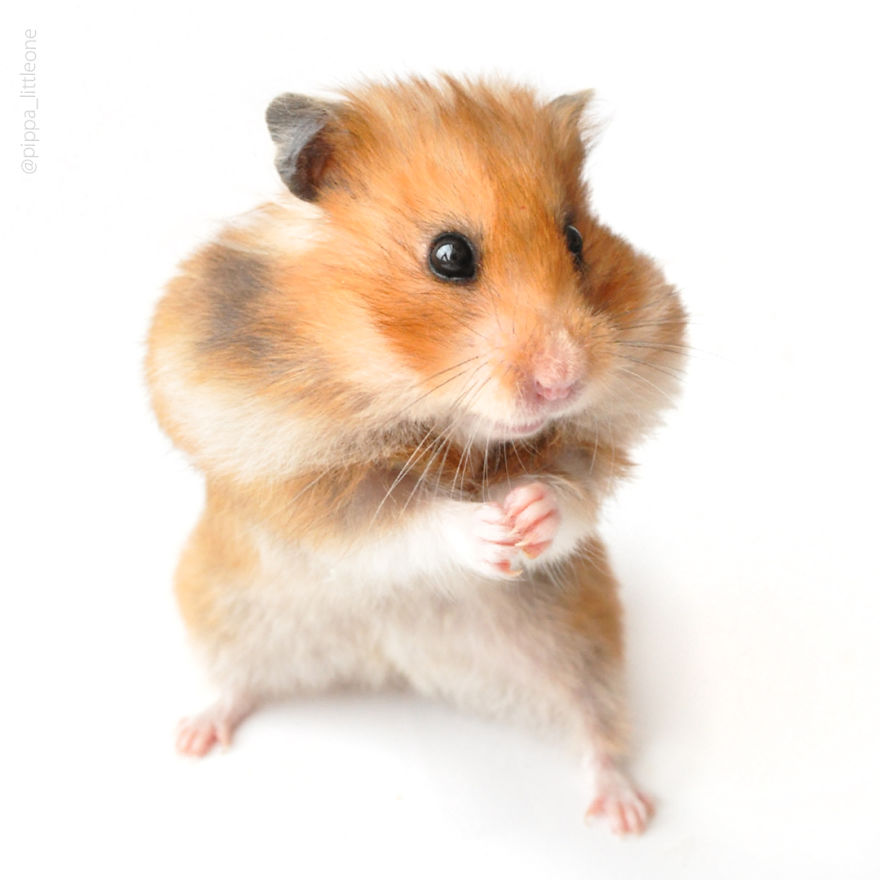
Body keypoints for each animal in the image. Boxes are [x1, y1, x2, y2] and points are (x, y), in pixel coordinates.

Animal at [146, 76, 686, 835]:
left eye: (577, 238)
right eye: (449, 255)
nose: (564, 381)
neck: (442, 416)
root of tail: (391, 663)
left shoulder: (599, 436)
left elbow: (572, 488)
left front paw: (528, 511)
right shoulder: (302, 485)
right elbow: (402, 517)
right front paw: (492, 529)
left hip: (582, 647)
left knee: (595, 730)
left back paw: (625, 815)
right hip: (221, 610)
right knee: (233, 683)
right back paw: (195, 738)